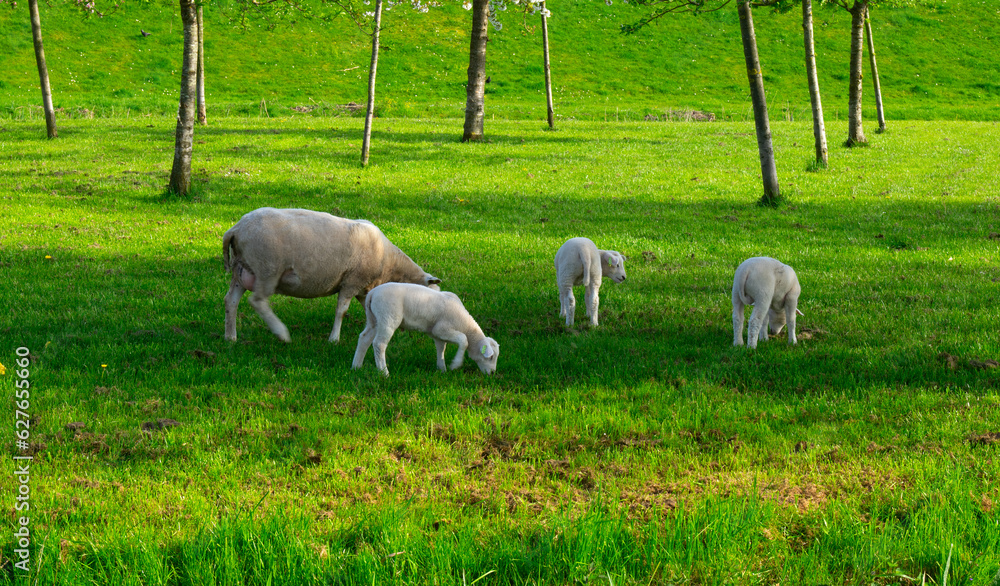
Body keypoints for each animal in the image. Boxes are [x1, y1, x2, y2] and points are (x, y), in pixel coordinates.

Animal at [352, 282, 500, 374]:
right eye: (491, 357)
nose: (493, 373)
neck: (465, 325)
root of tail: (372, 293)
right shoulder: (442, 329)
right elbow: (464, 340)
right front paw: (456, 364)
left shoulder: (437, 334)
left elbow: (441, 348)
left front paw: (442, 369)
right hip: (387, 317)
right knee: (379, 344)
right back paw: (384, 372)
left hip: (373, 319)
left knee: (364, 338)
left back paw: (356, 366)